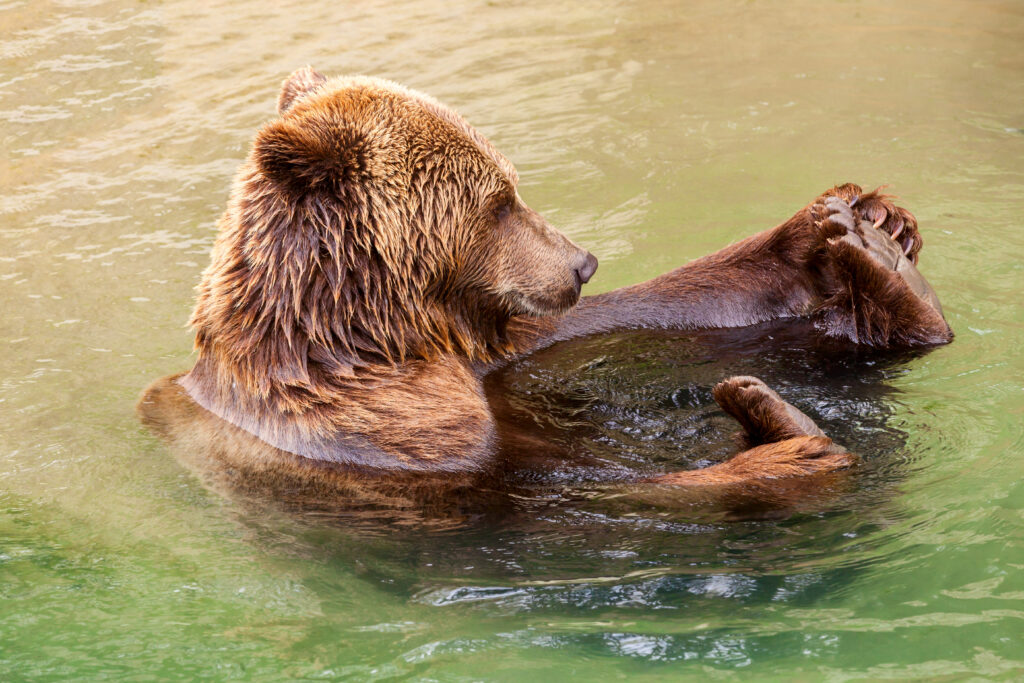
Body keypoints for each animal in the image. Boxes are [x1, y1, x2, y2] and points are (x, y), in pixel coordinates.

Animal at [136, 68, 950, 518]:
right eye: (498, 201)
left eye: (511, 185)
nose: (582, 262)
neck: (368, 335)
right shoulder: (381, 430)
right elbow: (560, 497)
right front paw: (783, 457)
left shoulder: (495, 346)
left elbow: (634, 314)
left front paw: (844, 219)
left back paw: (883, 265)